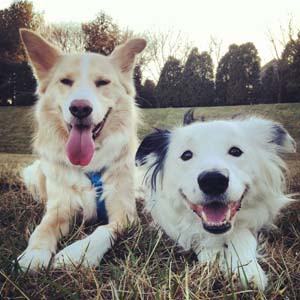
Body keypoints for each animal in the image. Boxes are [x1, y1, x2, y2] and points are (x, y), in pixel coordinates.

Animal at [135, 110, 296, 290]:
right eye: (186, 155)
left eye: (235, 151)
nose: (213, 181)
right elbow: (199, 240)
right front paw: (214, 260)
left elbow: (242, 236)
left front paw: (248, 270)